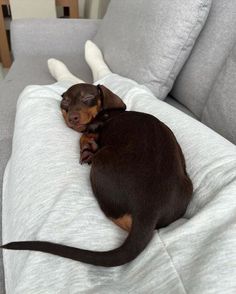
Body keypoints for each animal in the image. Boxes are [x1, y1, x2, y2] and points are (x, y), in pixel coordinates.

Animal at [1, 82, 193, 266]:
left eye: (87, 98)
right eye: (65, 102)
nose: (72, 118)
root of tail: (149, 211)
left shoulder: (96, 125)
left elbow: (85, 134)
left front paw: (87, 145)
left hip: (101, 162)